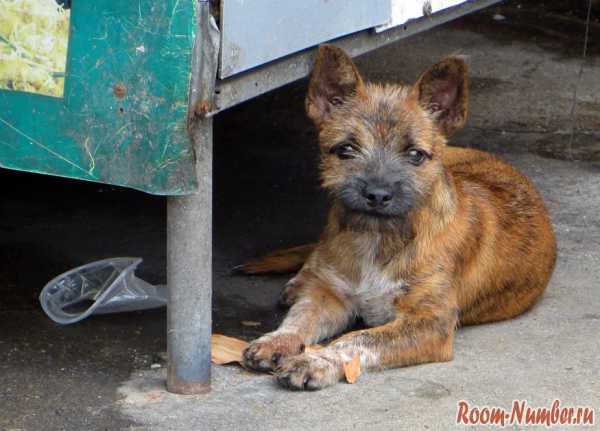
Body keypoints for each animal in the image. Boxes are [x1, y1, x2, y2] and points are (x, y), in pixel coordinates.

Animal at [237, 45, 556, 390]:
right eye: (345, 150)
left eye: (415, 154)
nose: (377, 194)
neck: (378, 239)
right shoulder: (332, 298)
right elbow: (302, 317)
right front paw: (277, 340)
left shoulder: (429, 323)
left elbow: (355, 341)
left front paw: (315, 360)